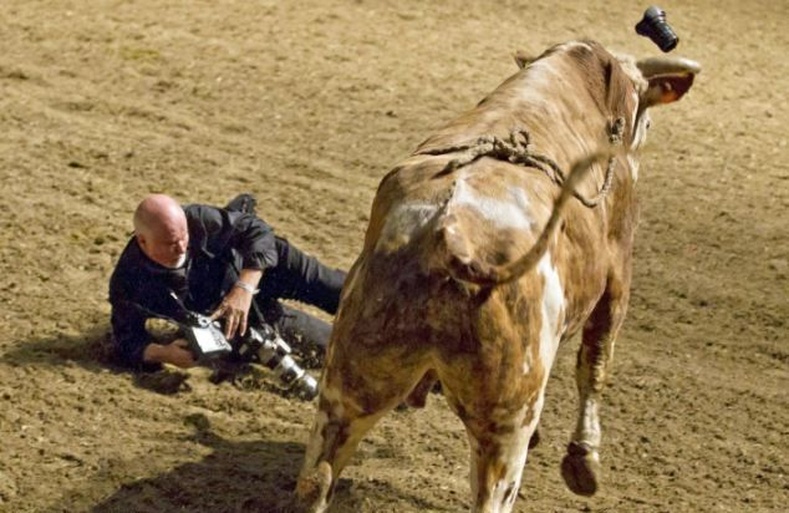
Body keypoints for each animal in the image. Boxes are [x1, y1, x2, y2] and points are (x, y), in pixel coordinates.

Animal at [294, 41, 696, 512]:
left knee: (317, 478)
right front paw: (583, 462)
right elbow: (594, 362)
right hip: (507, 423)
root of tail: (447, 234)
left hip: (348, 382)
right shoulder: (618, 274)